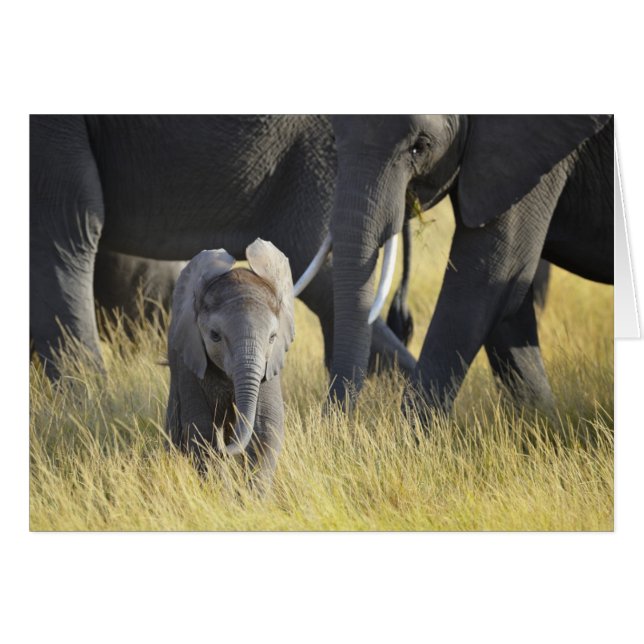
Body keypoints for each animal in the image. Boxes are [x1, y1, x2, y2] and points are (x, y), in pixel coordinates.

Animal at [166, 239, 294, 482]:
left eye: (272, 338)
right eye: (215, 336)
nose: (227, 447)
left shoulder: (269, 365)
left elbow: (267, 427)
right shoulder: (189, 360)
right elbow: (201, 430)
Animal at [314, 115, 613, 413]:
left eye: (420, 147)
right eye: (334, 140)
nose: (338, 418)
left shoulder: (529, 152)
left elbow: (486, 278)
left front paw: (415, 427)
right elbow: (507, 301)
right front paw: (541, 420)